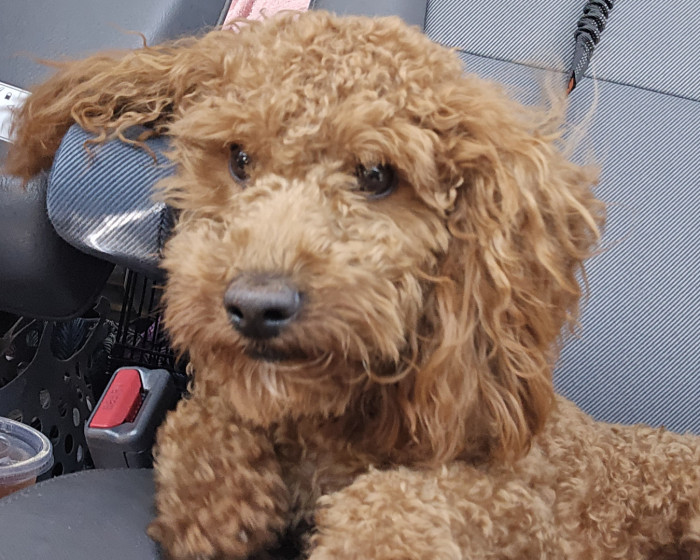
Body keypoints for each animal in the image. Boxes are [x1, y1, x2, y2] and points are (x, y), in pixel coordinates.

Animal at [6, 10, 699, 560]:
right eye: (238, 159)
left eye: (375, 175)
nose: (255, 307)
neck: (334, 425)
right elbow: (206, 419)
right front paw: (217, 505)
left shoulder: (519, 495)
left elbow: (402, 502)